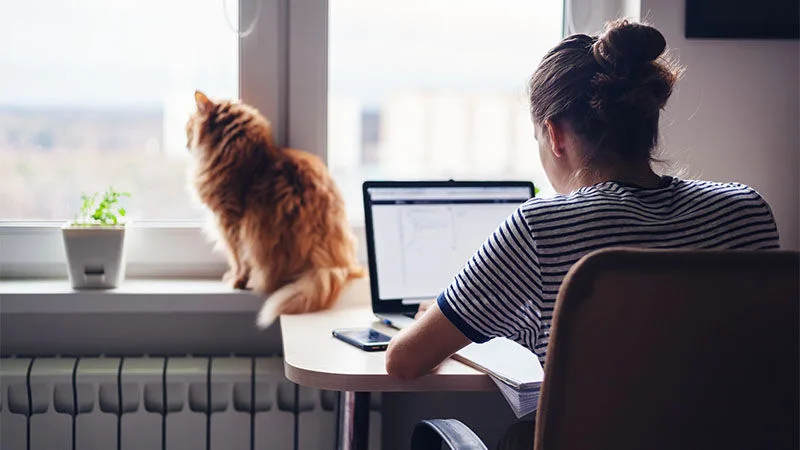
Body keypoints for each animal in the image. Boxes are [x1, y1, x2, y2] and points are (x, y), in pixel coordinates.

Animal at [186, 90, 364, 326]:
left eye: (189, 127)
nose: (186, 142)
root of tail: (329, 263)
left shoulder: (229, 221)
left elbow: (238, 259)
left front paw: (236, 279)